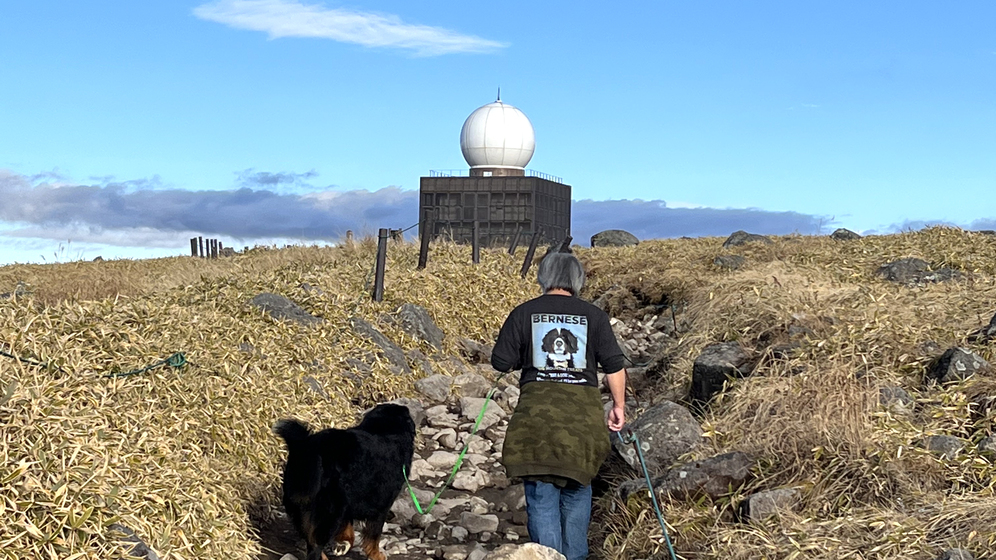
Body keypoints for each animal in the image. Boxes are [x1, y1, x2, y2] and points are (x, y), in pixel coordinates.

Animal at [272, 402, 416, 560]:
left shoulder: (348, 503)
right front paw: (376, 555)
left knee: (310, 539)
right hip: (329, 512)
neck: (385, 429)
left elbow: (348, 529)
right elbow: (373, 537)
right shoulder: (381, 506)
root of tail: (309, 448)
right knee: (315, 546)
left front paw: (342, 544)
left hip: (303, 507)